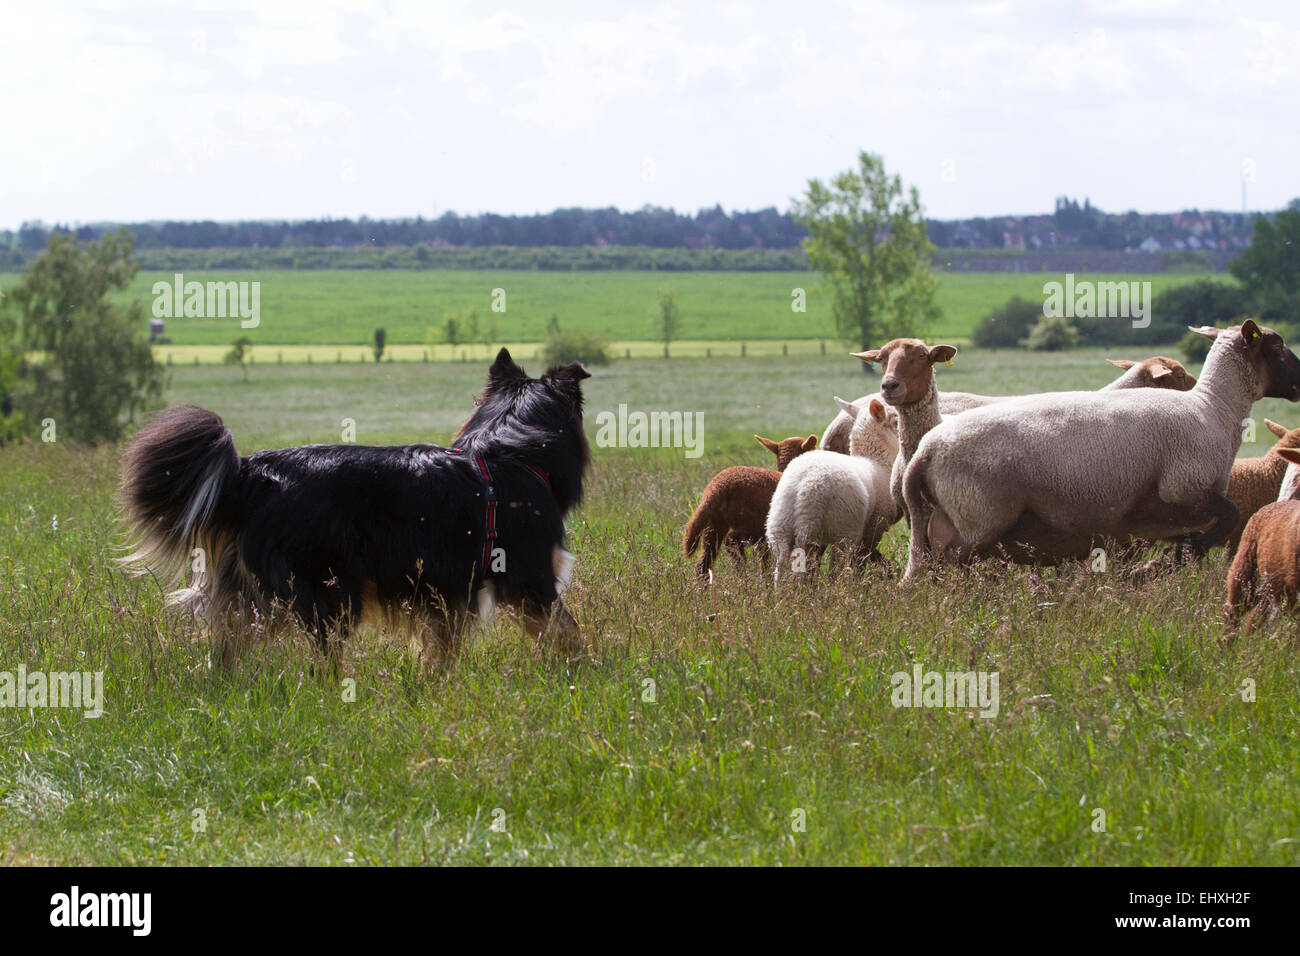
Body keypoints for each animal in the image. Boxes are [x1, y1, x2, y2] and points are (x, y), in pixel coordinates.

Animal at [122, 348, 590, 671]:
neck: (510, 452)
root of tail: (251, 471)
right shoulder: (530, 582)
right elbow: (569, 633)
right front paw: (584, 672)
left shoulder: (445, 597)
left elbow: (440, 650)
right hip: (329, 595)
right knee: (319, 664)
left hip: (252, 597)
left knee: (224, 652)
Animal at [686, 434, 816, 574]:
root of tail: (719, 487)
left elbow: (765, 565)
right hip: (753, 526)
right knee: (731, 541)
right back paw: (742, 570)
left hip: (714, 525)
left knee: (703, 564)